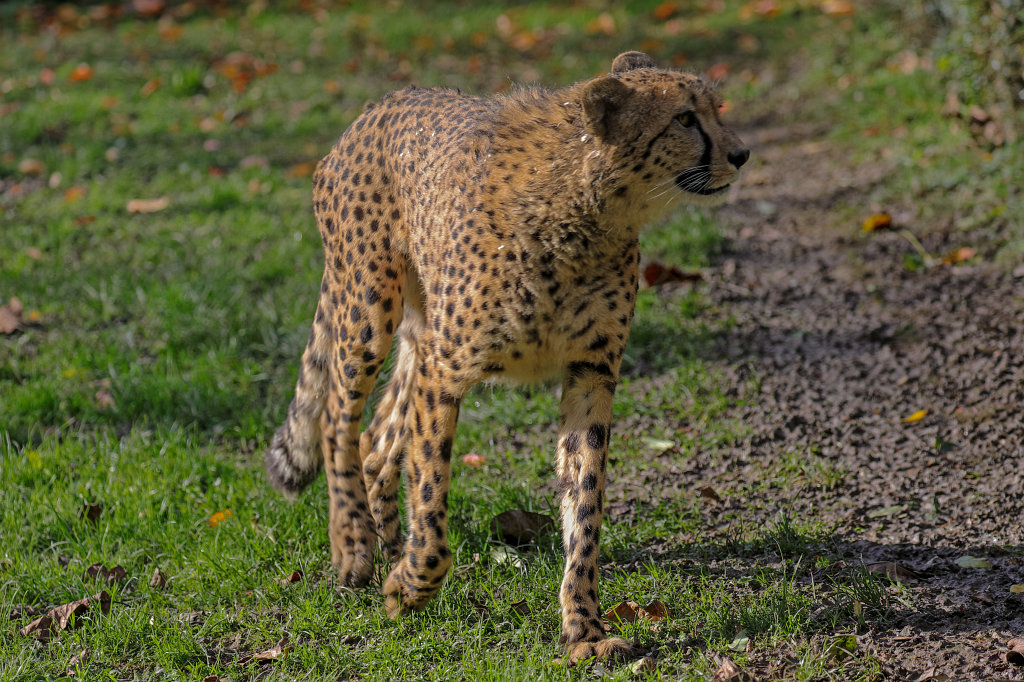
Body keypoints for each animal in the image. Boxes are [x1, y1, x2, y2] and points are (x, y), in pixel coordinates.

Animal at [264, 51, 748, 663]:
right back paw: (355, 548)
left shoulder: (591, 372)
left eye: (716, 109)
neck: (588, 205)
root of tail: (375, 108)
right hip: (369, 310)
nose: (741, 153)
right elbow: (432, 498)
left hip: (417, 331)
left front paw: (584, 630)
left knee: (377, 438)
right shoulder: (446, 372)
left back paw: (389, 544)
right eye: (684, 118)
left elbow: (584, 503)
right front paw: (409, 587)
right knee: (336, 423)